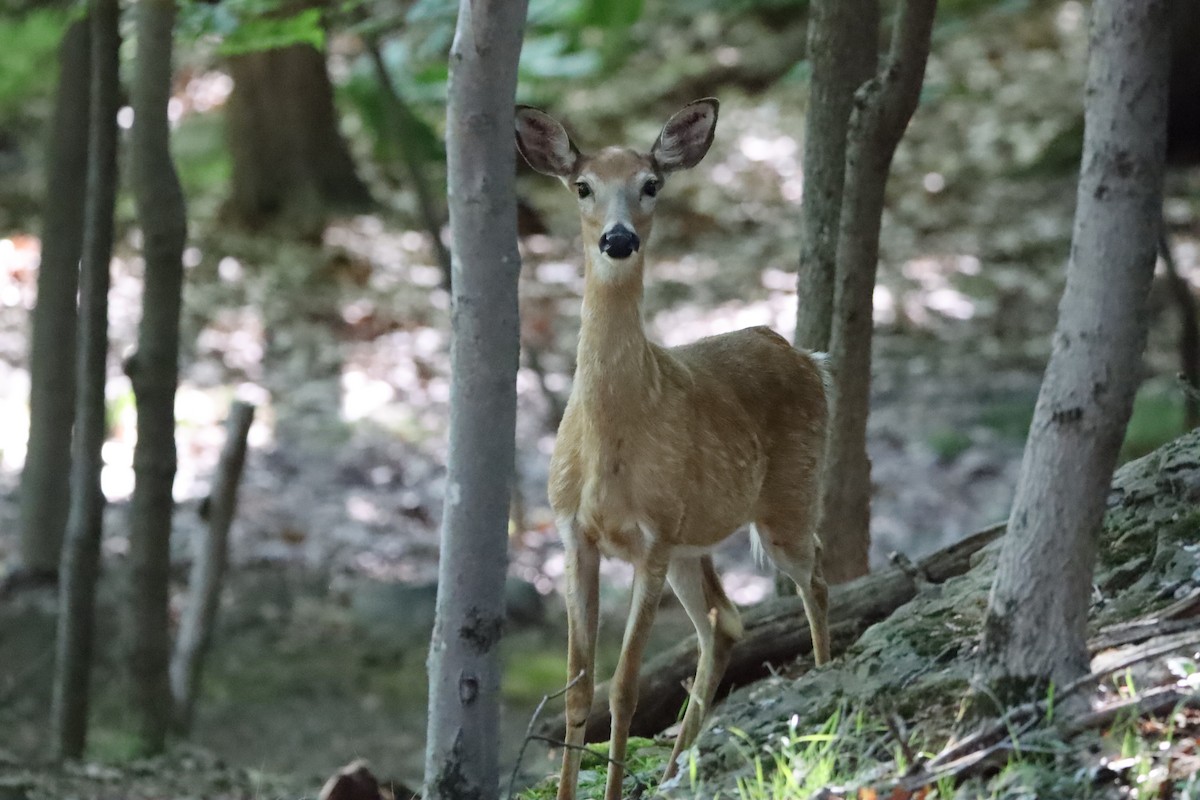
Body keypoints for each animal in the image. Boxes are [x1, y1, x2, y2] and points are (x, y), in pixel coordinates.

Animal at [514, 98, 832, 800]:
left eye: (651, 184)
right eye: (582, 186)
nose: (618, 239)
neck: (610, 446)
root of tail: (806, 355)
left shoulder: (653, 537)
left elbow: (625, 688)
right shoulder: (574, 533)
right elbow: (578, 689)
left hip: (790, 495)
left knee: (817, 579)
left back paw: (827, 685)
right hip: (697, 540)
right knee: (725, 621)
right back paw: (673, 768)